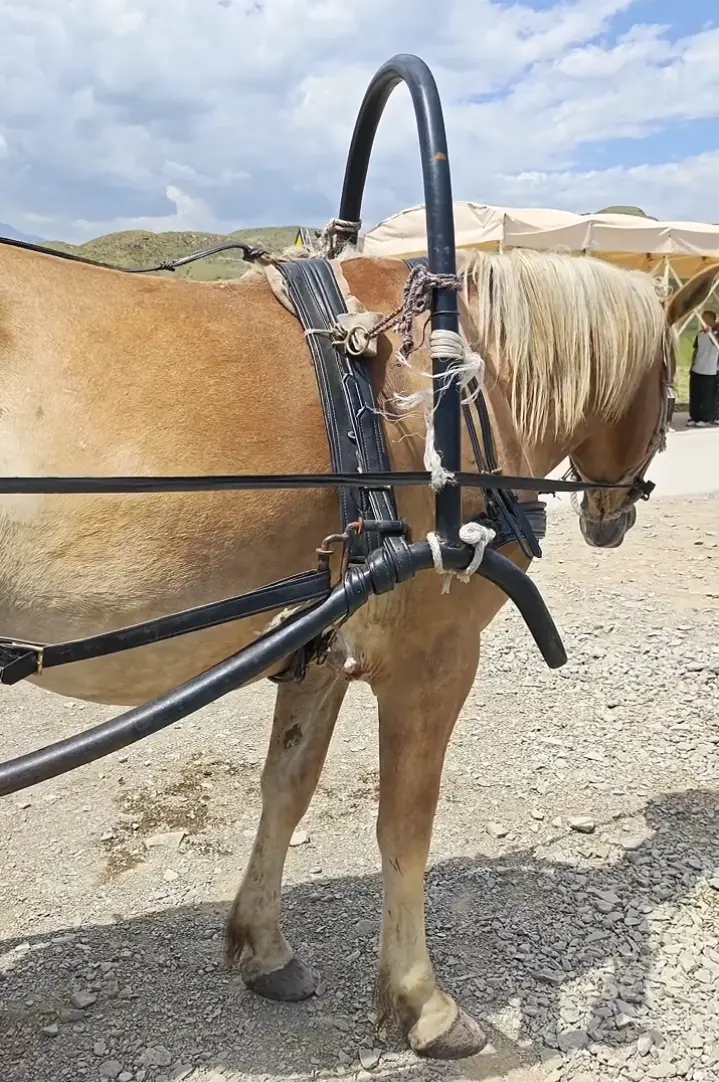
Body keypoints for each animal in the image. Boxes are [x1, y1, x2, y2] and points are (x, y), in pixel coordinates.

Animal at [0, 237, 714, 1060]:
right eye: (665, 386)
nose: (610, 519)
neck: (453, 385)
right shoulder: (433, 660)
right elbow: (405, 826)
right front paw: (421, 1002)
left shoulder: (318, 644)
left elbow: (287, 788)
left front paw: (264, 947)